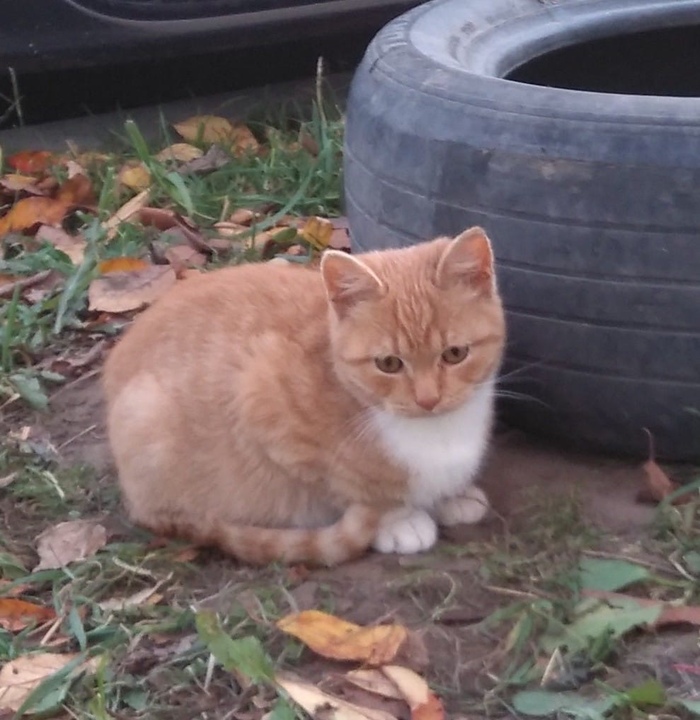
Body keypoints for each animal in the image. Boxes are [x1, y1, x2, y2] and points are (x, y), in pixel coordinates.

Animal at [102, 228, 504, 564]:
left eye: (455, 354)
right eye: (388, 363)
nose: (428, 400)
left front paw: (453, 496)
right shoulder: (263, 403)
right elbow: (348, 490)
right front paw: (397, 519)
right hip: (145, 416)